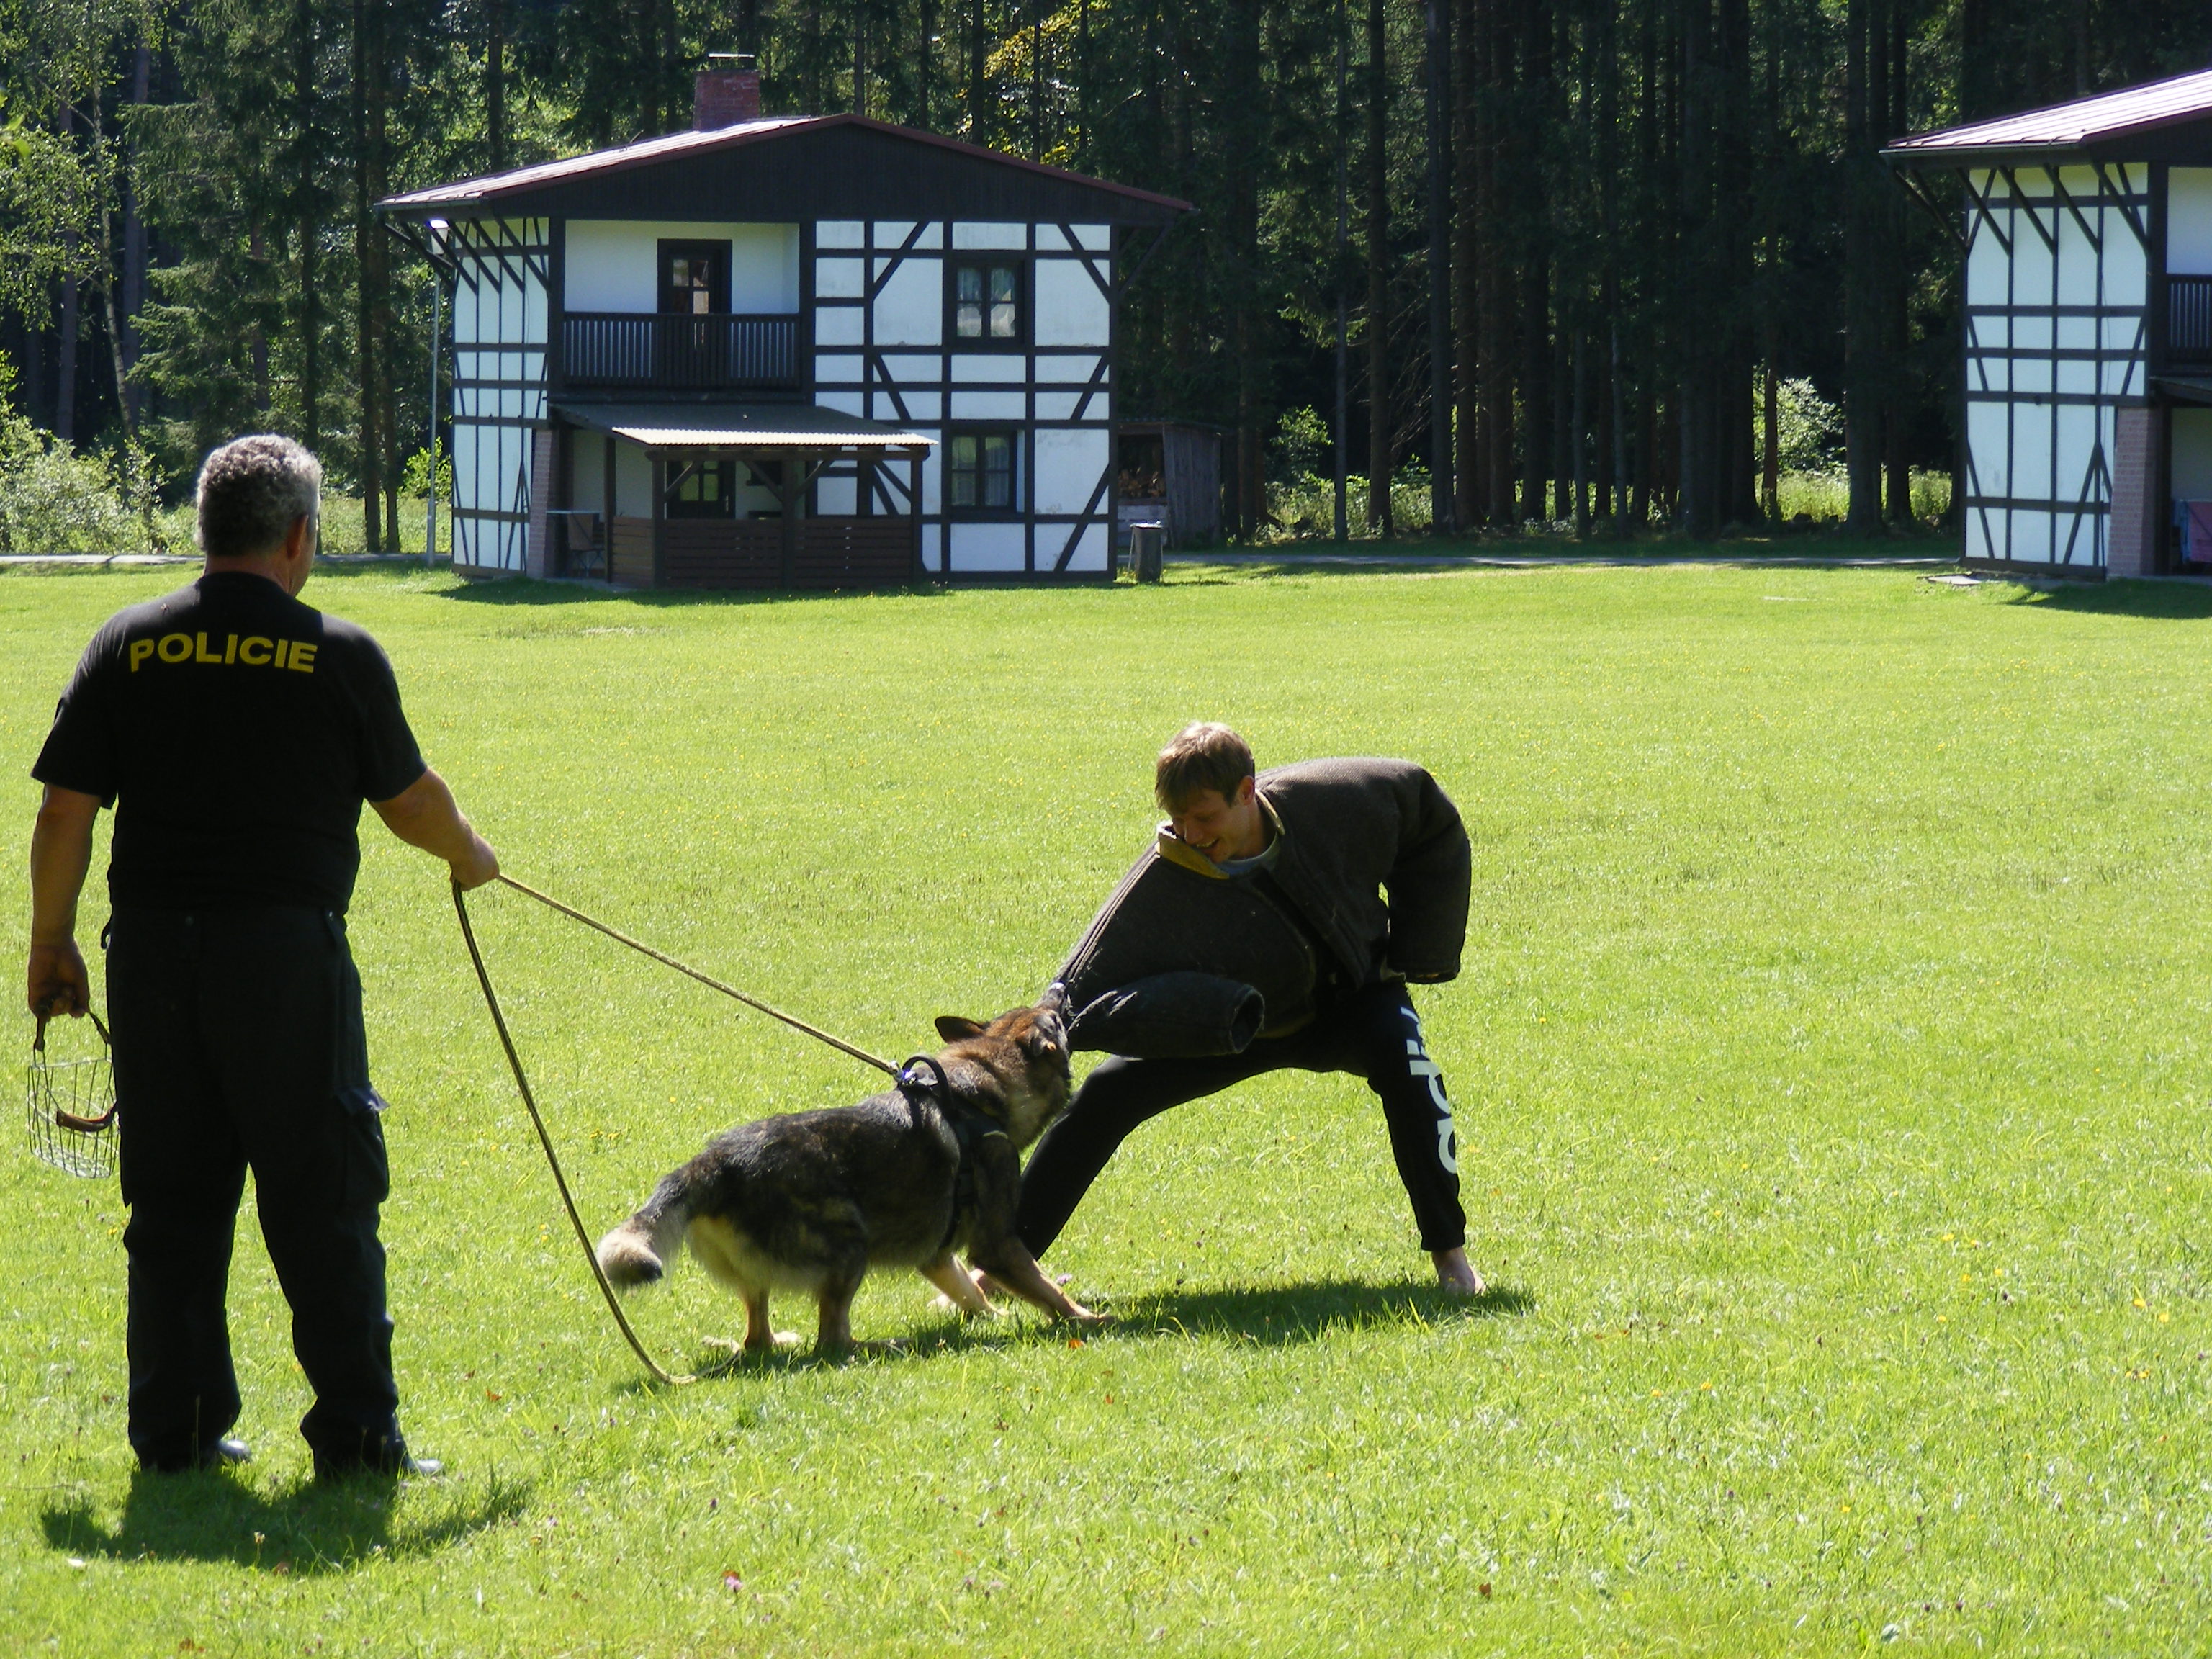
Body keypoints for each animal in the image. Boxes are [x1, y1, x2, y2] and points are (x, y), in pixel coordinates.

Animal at [593, 999, 1101, 1354]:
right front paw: (1086, 1319)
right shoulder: (996, 1244)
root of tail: (714, 1162)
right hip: (850, 1247)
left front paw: (994, 1317)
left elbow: (970, 1292)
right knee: (832, 1340)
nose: (1063, 991)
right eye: (1054, 1020)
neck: (979, 1088)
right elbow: (1045, 1287)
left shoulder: (937, 1255)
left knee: (758, 1339)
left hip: (762, 1273)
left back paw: (778, 1344)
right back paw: (882, 1346)